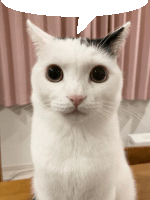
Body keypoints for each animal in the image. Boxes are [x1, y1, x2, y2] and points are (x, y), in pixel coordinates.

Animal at [27, 19, 137, 200]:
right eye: (53, 72)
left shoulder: (105, 192)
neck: (75, 136)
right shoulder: (47, 191)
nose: (76, 97)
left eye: (99, 74)